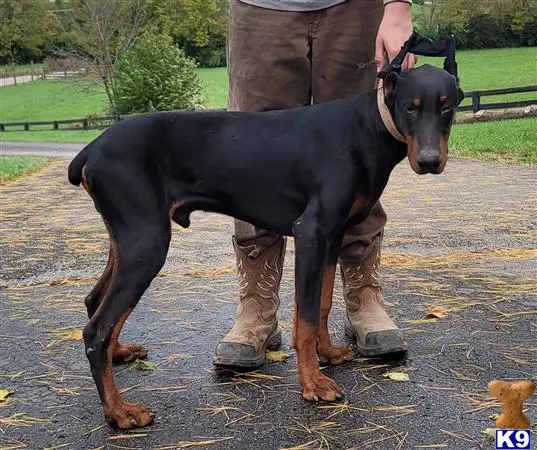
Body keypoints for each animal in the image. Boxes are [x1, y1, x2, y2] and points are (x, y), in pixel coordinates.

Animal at [66, 34, 460, 428]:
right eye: (410, 107)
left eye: (447, 106)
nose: (429, 161)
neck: (365, 128)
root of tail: (90, 149)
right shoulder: (311, 233)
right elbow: (305, 318)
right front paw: (313, 383)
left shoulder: (331, 239)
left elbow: (321, 304)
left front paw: (328, 352)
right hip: (147, 245)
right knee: (97, 330)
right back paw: (120, 412)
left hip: (128, 241)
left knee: (94, 302)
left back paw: (120, 354)